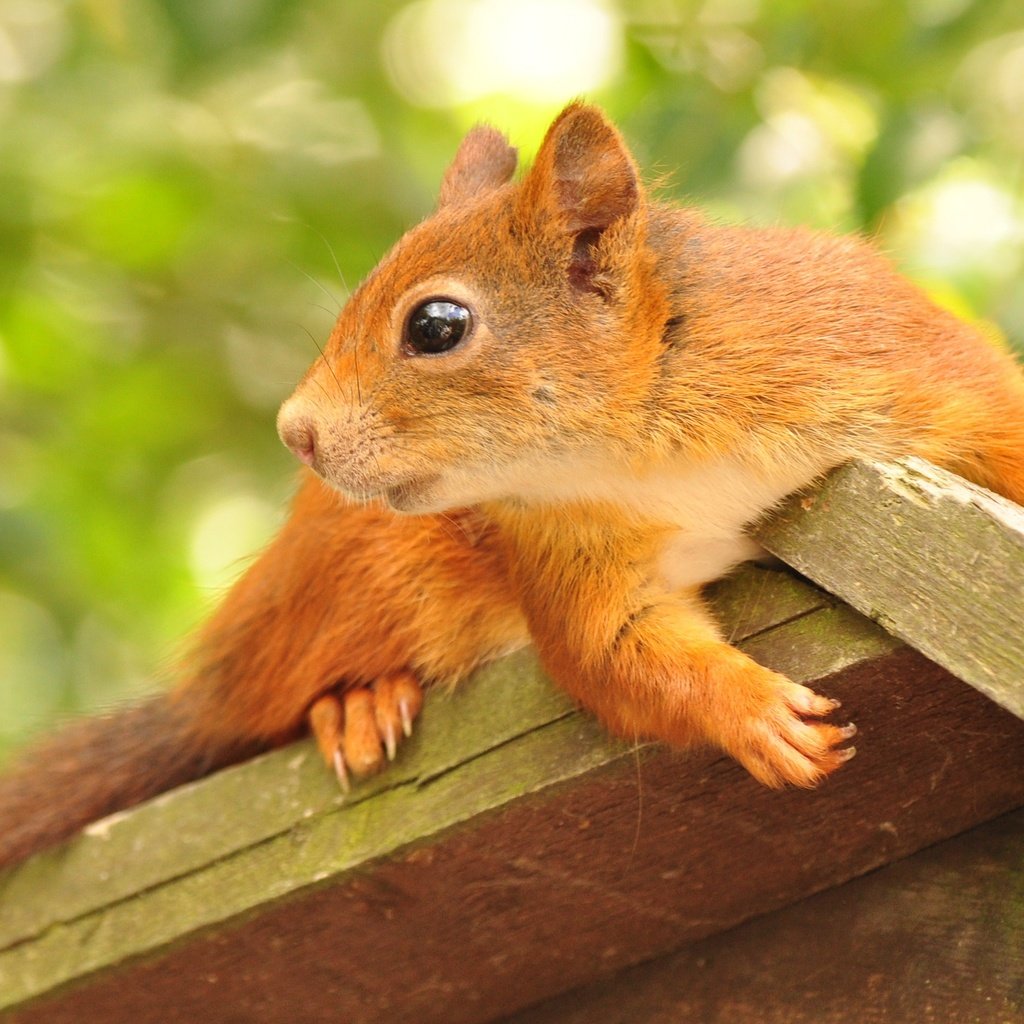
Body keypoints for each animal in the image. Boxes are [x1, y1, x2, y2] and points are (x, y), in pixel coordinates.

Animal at [2, 103, 1024, 872]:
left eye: (436, 325)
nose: (296, 432)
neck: (644, 446)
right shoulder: (563, 548)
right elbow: (611, 654)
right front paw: (758, 715)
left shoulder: (898, 363)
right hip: (363, 568)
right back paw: (356, 704)